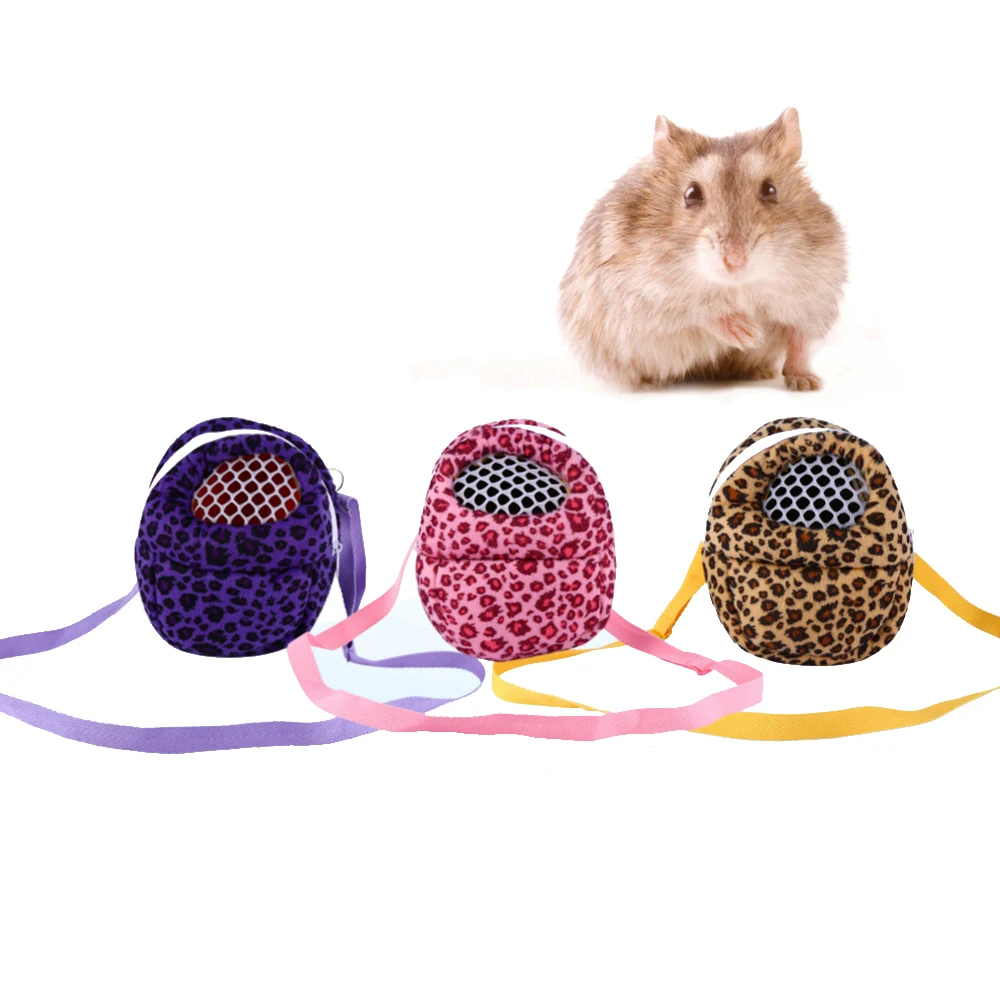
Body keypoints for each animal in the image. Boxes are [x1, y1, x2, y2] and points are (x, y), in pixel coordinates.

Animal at [559, 109, 847, 391]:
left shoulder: (813, 296)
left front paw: (806, 383)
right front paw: (748, 333)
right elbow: (699, 311)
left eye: (770, 189)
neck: (739, 286)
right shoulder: (642, 294)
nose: (736, 261)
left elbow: (799, 339)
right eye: (691, 194)